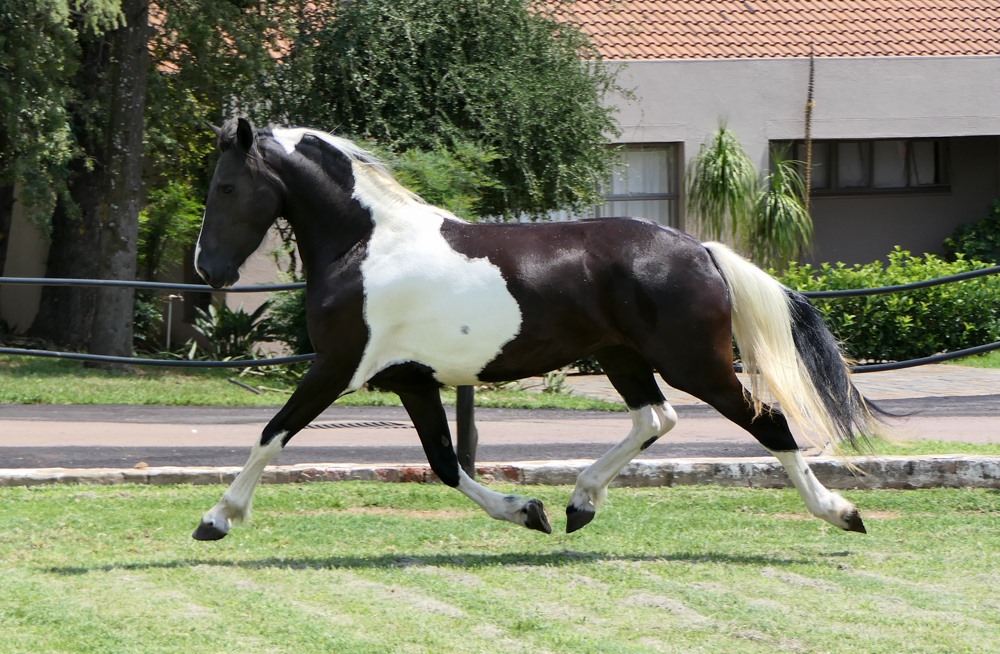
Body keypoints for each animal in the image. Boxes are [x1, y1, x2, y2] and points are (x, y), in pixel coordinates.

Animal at [195, 119, 884, 544]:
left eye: (226, 186)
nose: (208, 269)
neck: (366, 245)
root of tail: (700, 249)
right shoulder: (411, 381)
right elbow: (444, 463)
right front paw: (529, 512)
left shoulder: (337, 366)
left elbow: (272, 433)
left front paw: (217, 518)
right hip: (624, 358)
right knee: (654, 418)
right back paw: (580, 503)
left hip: (696, 364)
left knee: (768, 421)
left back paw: (843, 513)